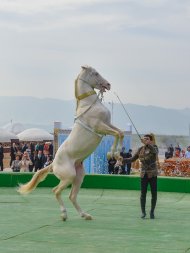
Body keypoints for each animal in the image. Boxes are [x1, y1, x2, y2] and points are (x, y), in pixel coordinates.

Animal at [18, 66, 124, 220]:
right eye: (95, 73)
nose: (108, 85)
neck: (89, 104)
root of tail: (53, 164)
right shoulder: (99, 126)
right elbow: (117, 134)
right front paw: (113, 154)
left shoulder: (107, 124)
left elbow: (120, 132)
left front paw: (117, 155)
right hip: (69, 177)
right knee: (56, 191)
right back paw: (64, 215)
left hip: (78, 176)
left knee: (72, 196)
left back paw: (85, 215)